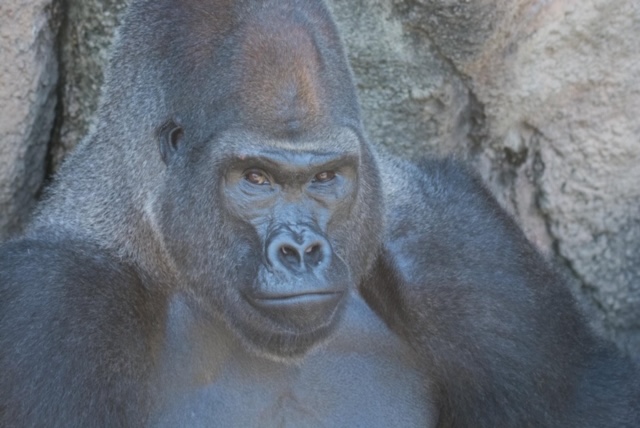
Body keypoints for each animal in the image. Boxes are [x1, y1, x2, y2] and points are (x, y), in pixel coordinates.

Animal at [0, 0, 638, 427]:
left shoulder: (453, 234)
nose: (302, 251)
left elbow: (585, 400)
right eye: (255, 179)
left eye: (325, 178)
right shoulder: (55, 303)